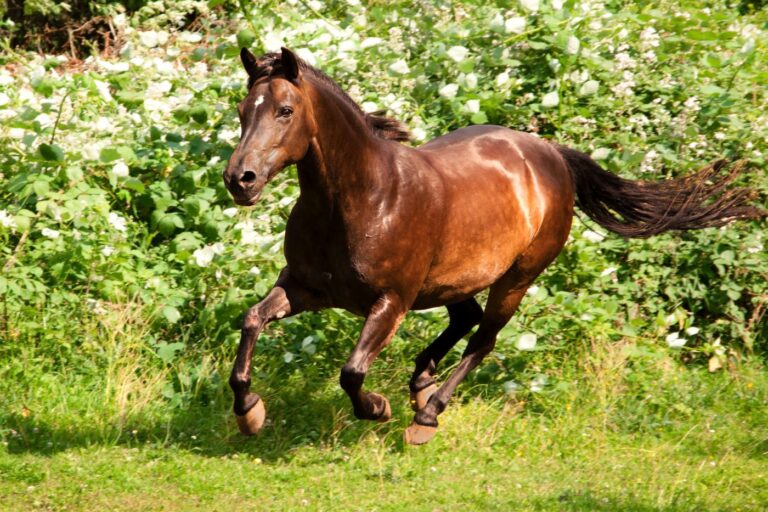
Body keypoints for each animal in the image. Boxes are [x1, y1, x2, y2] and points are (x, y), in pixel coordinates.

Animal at [220, 46, 760, 444]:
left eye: (286, 111)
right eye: (244, 111)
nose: (240, 180)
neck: (362, 200)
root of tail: (552, 155)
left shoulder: (391, 302)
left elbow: (352, 372)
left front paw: (377, 407)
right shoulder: (306, 288)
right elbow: (251, 321)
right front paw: (249, 412)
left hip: (516, 279)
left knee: (484, 337)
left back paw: (427, 415)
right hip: (455, 279)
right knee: (467, 319)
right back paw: (421, 384)